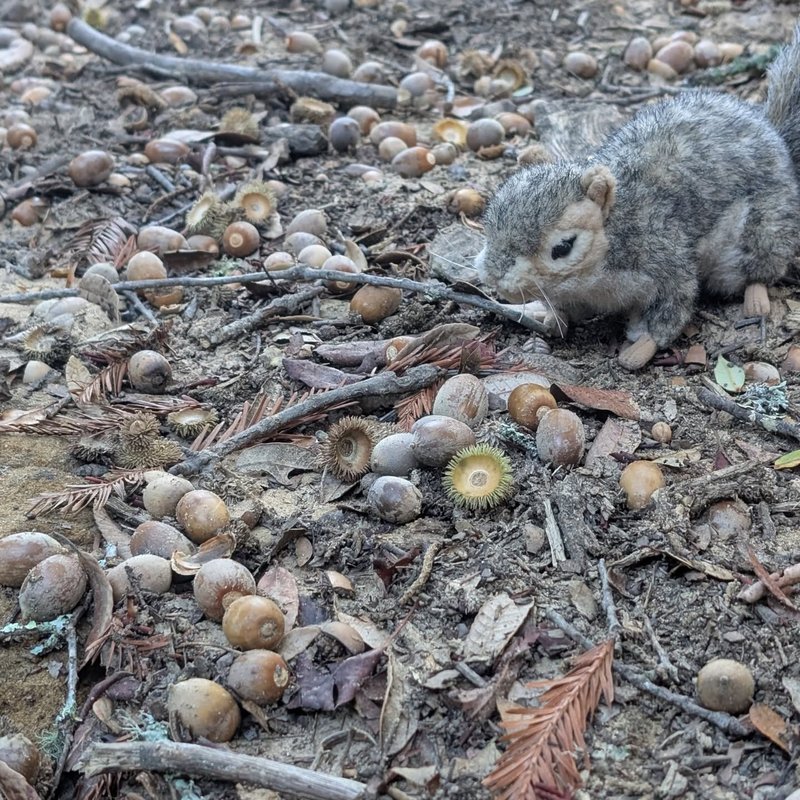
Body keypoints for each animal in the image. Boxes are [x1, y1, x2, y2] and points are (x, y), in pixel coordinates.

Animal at [476, 27, 800, 369]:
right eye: (490, 221)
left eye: (563, 248)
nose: (494, 279)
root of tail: (777, 140)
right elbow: (563, 312)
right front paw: (546, 315)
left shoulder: (663, 255)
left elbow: (671, 308)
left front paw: (640, 347)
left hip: (765, 226)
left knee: (760, 268)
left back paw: (756, 299)